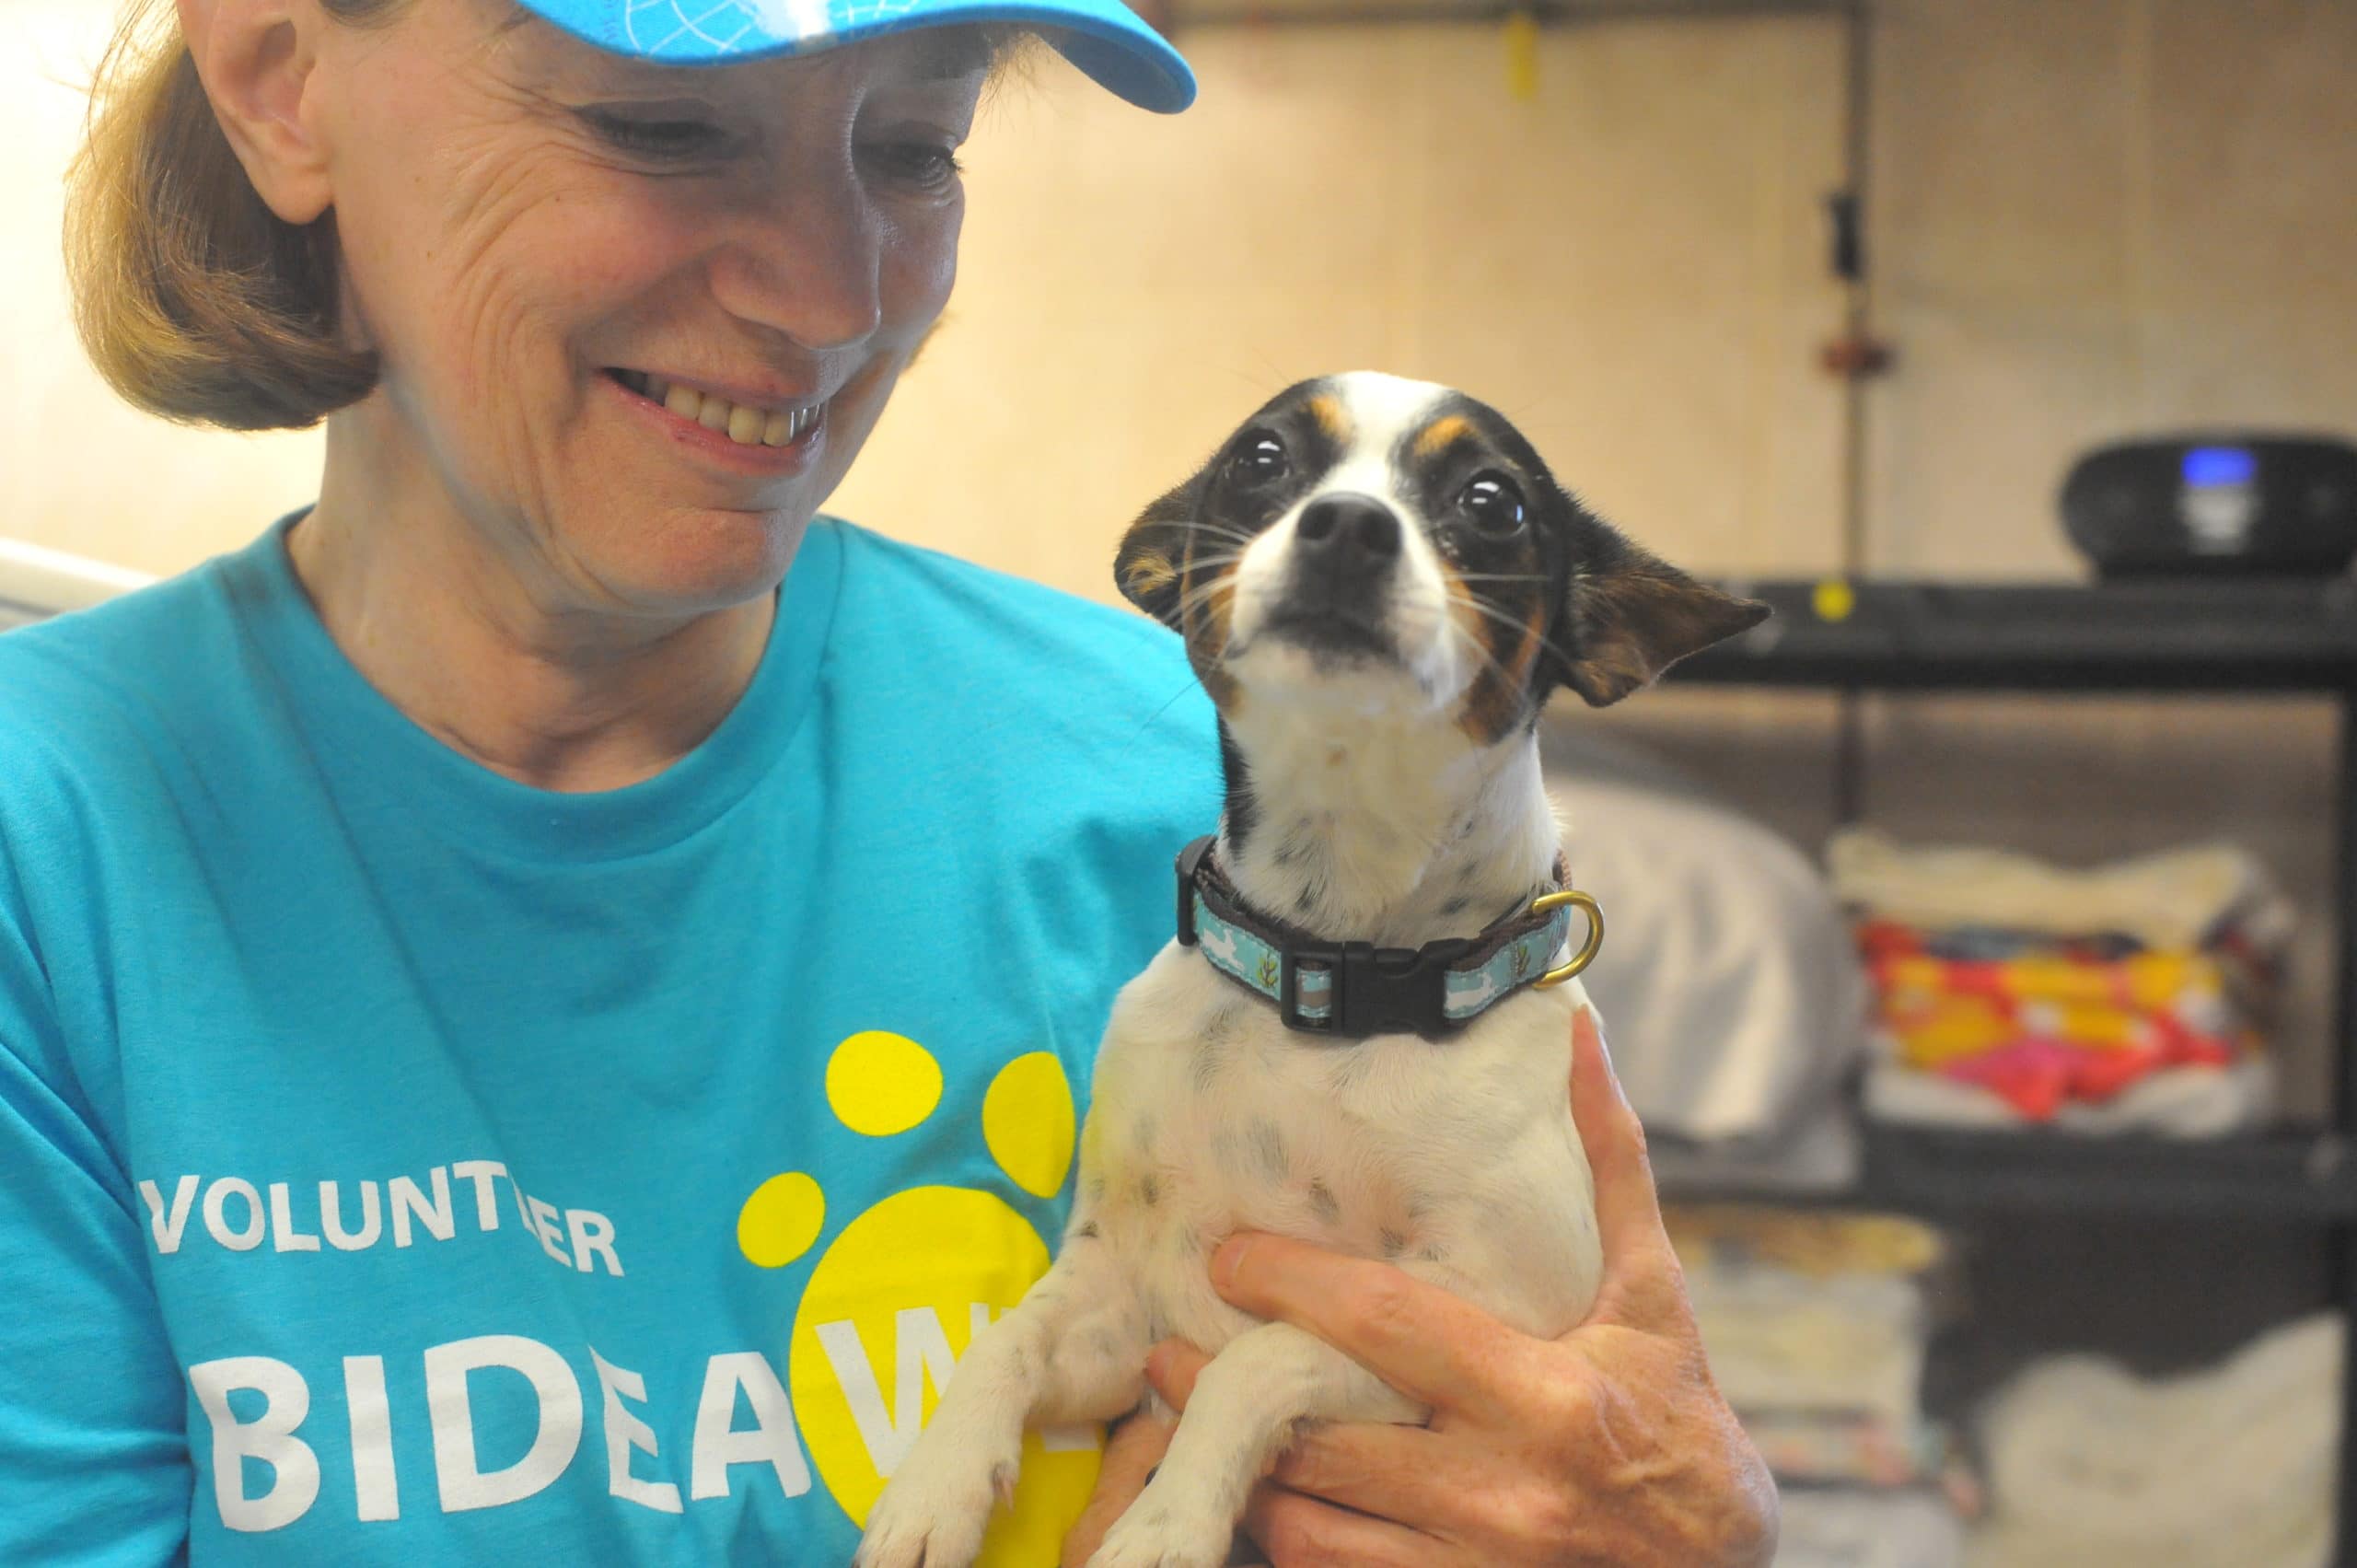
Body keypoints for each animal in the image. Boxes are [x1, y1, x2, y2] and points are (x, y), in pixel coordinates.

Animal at [857, 372, 1762, 1556]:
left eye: (1492, 502)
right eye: (1261, 459)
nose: (1347, 524)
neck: (1336, 965)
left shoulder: (1476, 1310)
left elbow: (1251, 1358)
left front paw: (1165, 1522)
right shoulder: (1122, 1298)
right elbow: (1006, 1338)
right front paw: (936, 1484)